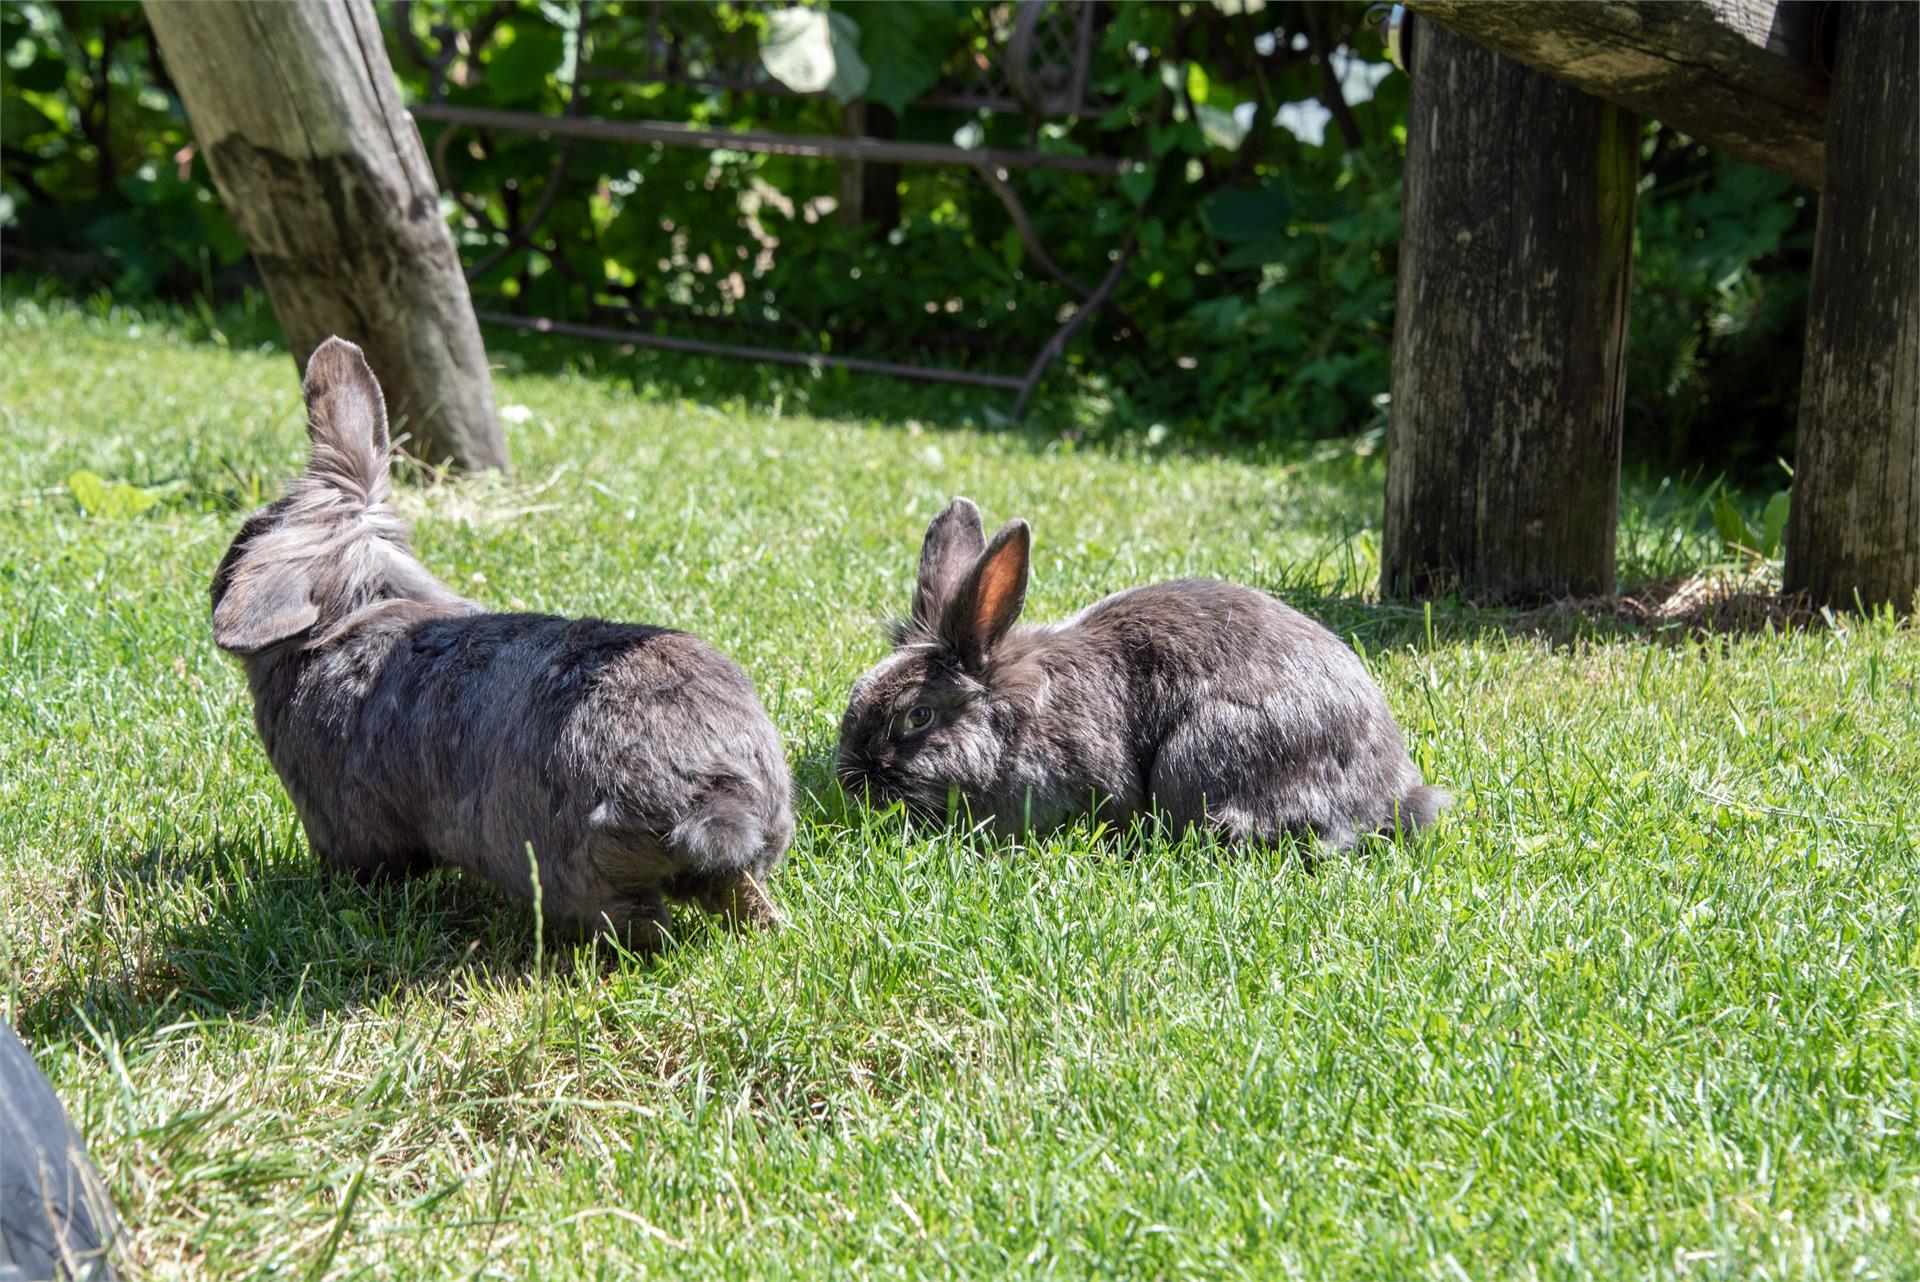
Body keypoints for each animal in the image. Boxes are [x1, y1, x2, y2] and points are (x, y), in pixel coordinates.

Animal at [217, 335, 794, 948]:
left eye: (245, 540)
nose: (214, 588)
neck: (354, 614)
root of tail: (712, 797)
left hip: (580, 875)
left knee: (637, 924)